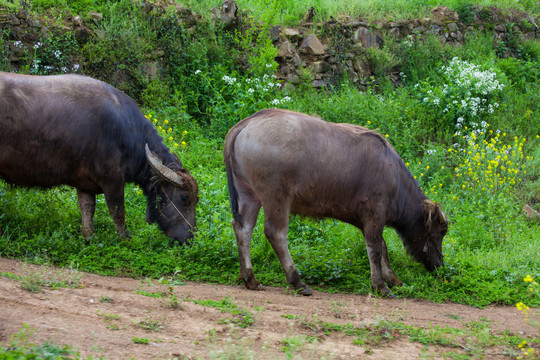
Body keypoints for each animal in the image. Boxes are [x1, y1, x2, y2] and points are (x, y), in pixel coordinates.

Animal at [0, 71, 198, 242]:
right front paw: (127, 240)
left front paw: (89, 239)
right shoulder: (112, 180)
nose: (189, 238)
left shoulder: (84, 183)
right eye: (184, 197)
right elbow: (118, 212)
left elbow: (88, 210)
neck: (126, 131)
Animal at [224, 109, 448, 296]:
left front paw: (393, 279)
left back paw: (251, 279)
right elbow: (375, 247)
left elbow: (382, 246)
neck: (393, 175)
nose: (440, 265)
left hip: (249, 195)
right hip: (276, 197)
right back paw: (298, 282)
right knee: (275, 233)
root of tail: (248, 122)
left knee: (243, 229)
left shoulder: (361, 218)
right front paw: (381, 286)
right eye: (438, 232)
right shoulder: (375, 212)